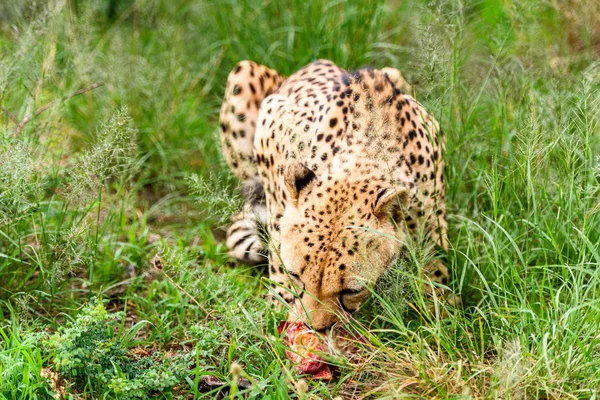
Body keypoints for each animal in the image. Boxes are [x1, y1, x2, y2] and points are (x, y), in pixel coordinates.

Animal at [220, 58, 450, 328]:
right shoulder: (272, 119)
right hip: (244, 73)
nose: (314, 328)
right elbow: (278, 222)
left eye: (352, 291)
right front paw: (278, 301)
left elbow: (436, 270)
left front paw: (439, 314)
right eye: (296, 276)